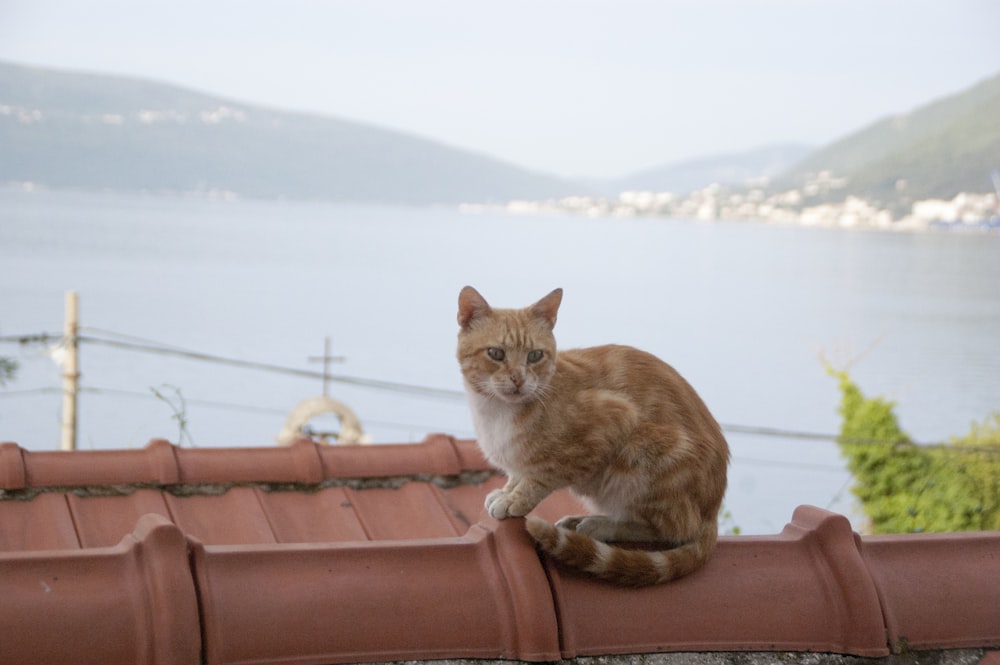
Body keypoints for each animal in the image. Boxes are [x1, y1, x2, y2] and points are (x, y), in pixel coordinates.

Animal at [458, 286, 732, 588]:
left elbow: (540, 477)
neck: (496, 413)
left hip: (641, 454)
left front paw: (515, 499)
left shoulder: (612, 420)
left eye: (534, 356)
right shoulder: (520, 458)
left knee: (673, 529)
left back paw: (600, 524)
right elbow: (519, 473)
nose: (518, 379)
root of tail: (712, 512)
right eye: (496, 353)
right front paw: (507, 491)